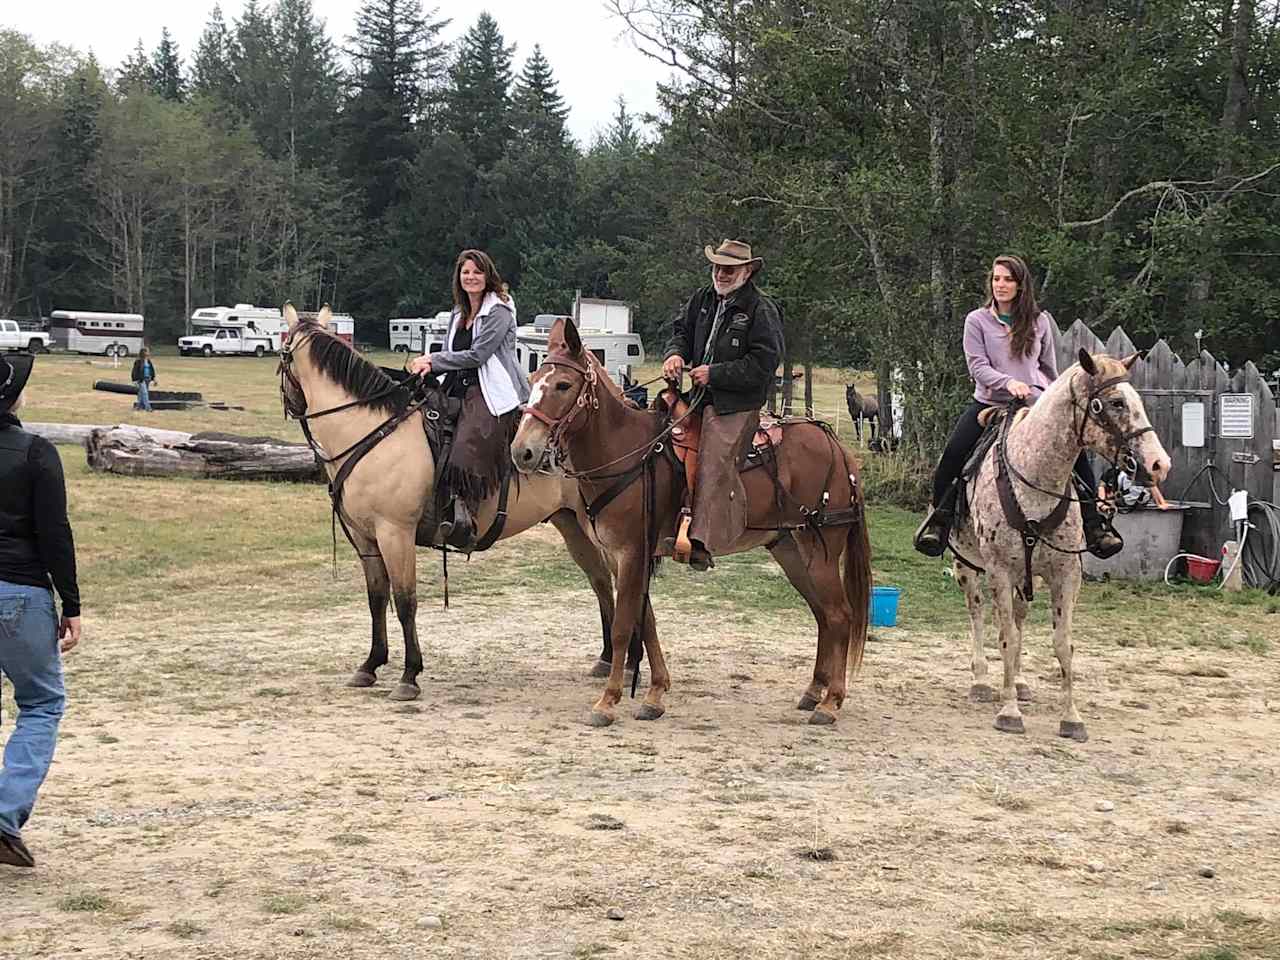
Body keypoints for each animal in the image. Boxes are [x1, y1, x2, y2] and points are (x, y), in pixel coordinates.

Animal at [279, 302, 629, 701]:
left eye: (282, 356)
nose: (289, 405)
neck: (373, 432)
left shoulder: (395, 534)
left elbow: (406, 601)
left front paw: (409, 675)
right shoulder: (367, 538)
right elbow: (376, 598)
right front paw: (370, 665)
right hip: (571, 524)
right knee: (600, 581)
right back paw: (606, 659)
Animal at [506, 320, 870, 727]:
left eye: (563, 385)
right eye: (534, 378)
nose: (522, 451)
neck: (626, 453)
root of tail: (835, 445)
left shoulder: (632, 553)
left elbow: (623, 627)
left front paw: (608, 701)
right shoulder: (623, 556)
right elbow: (646, 622)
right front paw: (655, 694)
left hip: (820, 551)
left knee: (840, 615)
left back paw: (831, 702)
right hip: (791, 550)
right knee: (823, 615)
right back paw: (813, 692)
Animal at [952, 353, 1172, 742]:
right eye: (1115, 403)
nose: (1159, 464)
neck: (1035, 479)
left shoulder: (1066, 575)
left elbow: (1061, 643)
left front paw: (1071, 717)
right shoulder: (999, 571)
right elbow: (1006, 636)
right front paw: (1009, 712)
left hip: (1027, 578)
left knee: (1019, 617)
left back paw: (1019, 682)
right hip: (968, 566)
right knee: (977, 613)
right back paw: (981, 681)